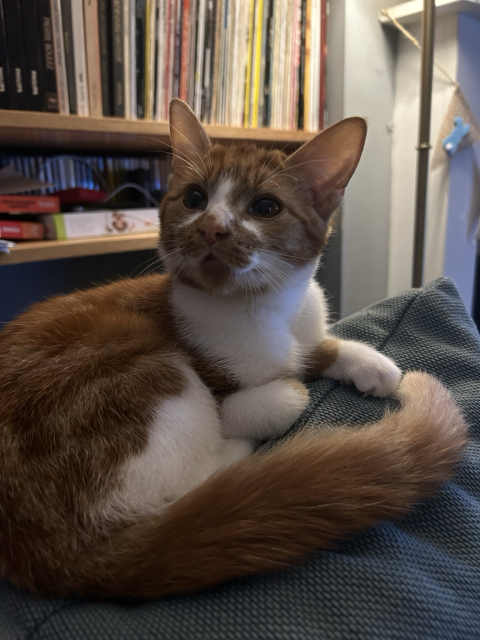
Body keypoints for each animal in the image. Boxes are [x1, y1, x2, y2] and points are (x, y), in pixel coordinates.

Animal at [0, 101, 466, 600]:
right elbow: (259, 399)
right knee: (191, 482)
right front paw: (286, 393)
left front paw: (370, 363)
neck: (264, 308)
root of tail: (55, 561)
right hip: (136, 366)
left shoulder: (305, 321)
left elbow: (315, 347)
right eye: (195, 199)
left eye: (265, 207)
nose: (212, 227)